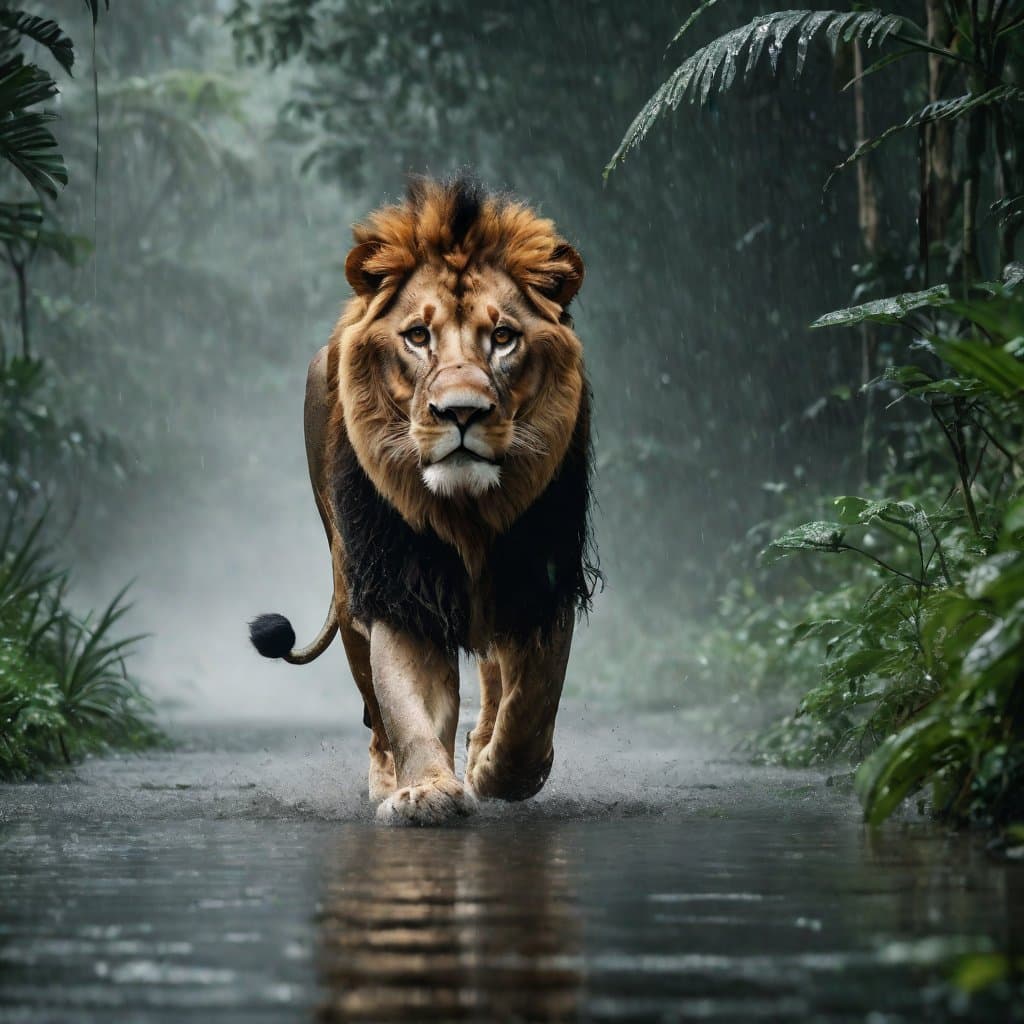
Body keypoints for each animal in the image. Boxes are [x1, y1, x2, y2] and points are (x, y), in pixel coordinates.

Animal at [249, 175, 598, 825]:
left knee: (493, 672)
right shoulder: (401, 583)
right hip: (348, 585)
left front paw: (499, 771)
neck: (467, 515)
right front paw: (426, 790)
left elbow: (531, 701)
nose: (461, 412)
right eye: (417, 336)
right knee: (373, 705)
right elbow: (407, 701)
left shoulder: (539, 577)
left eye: (503, 338)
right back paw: (387, 778)